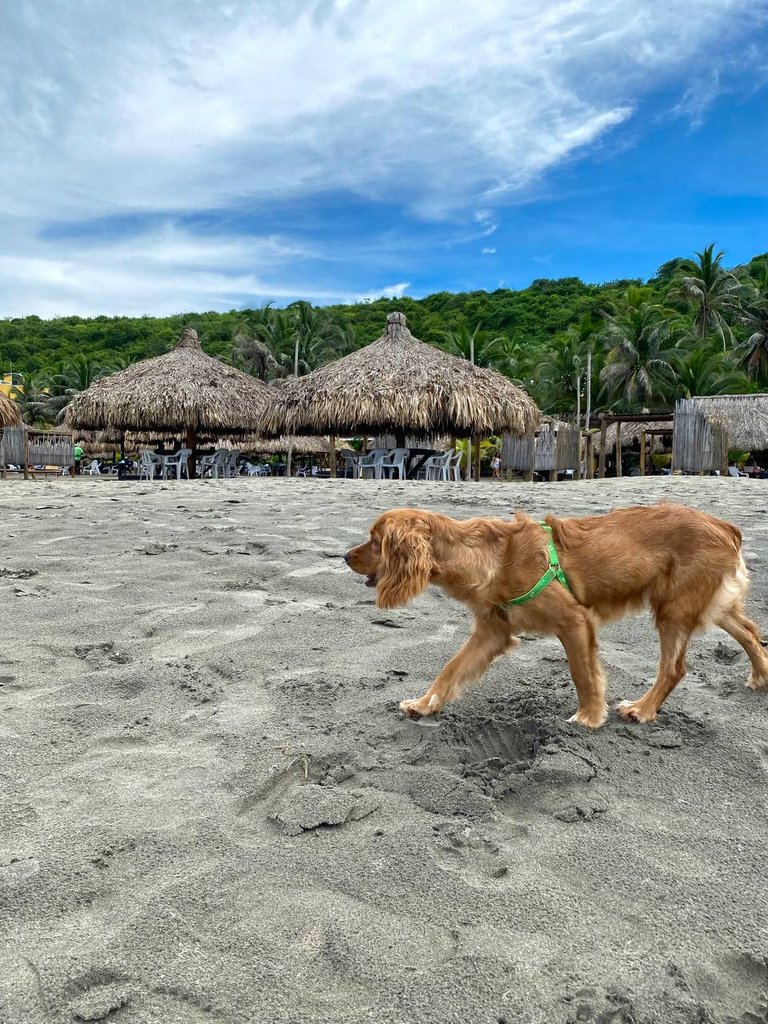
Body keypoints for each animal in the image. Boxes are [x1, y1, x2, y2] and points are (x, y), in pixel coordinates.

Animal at [348, 503, 768, 729]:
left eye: (375, 541)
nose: (344, 556)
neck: (490, 559)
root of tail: (724, 526)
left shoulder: (574, 621)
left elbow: (582, 674)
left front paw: (589, 717)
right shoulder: (491, 632)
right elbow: (449, 671)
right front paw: (424, 704)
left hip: (673, 609)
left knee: (674, 668)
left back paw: (643, 709)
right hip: (710, 605)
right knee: (750, 633)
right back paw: (761, 676)